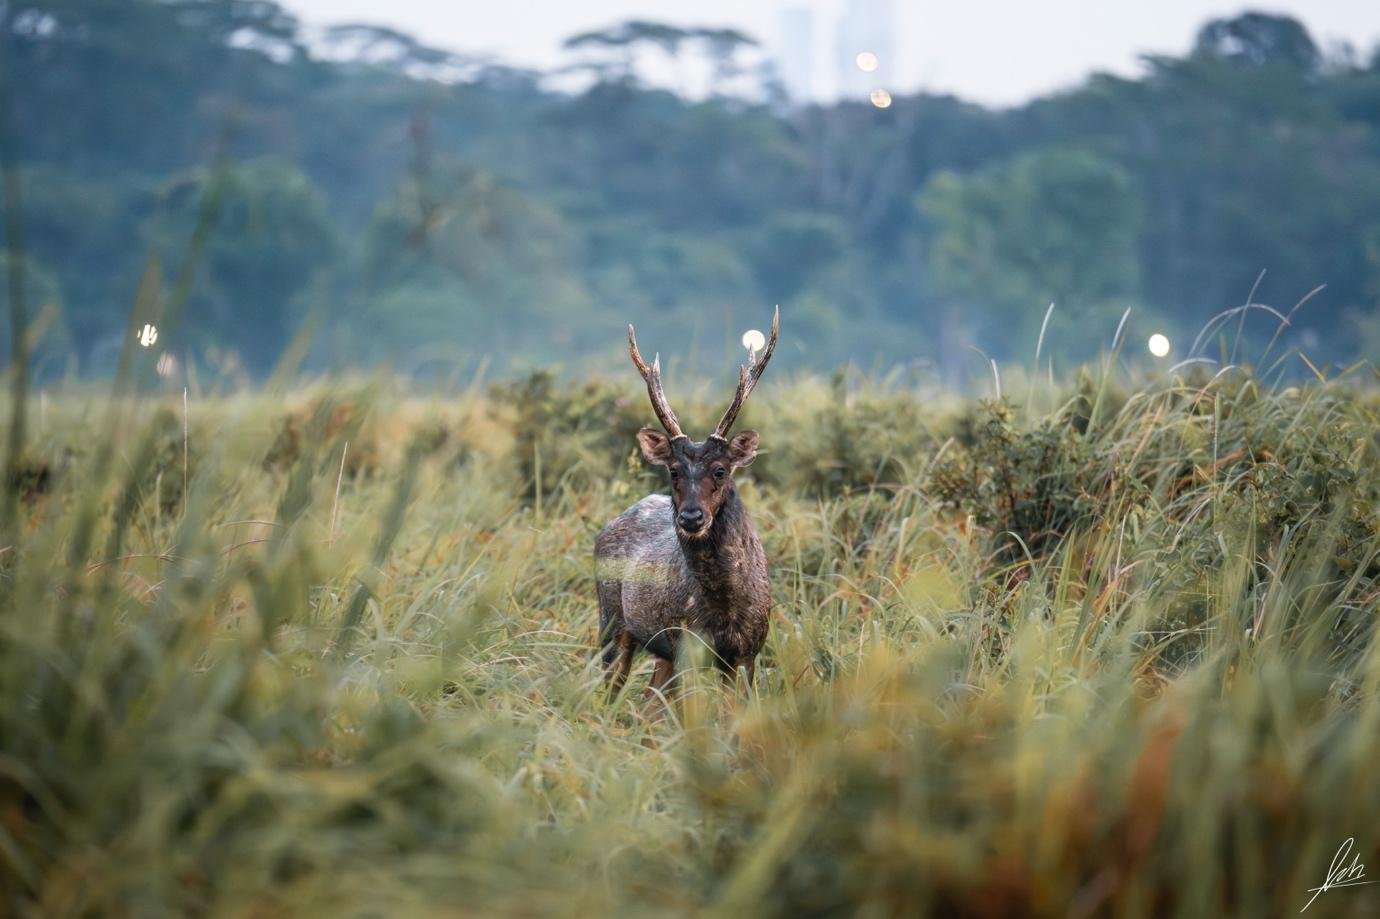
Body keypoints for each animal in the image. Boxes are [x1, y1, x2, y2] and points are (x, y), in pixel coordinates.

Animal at [594, 308, 779, 699]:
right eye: (674, 470)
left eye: (721, 469)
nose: (691, 517)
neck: (725, 609)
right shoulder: (686, 643)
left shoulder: (748, 652)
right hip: (611, 620)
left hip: (658, 649)